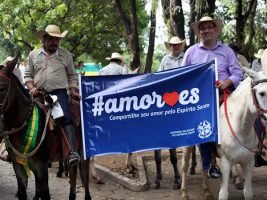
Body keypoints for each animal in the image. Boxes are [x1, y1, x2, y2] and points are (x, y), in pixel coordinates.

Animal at [0, 55, 91, 200]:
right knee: (73, 172)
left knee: (84, 175)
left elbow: (44, 192)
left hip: (83, 153)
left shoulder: (41, 166)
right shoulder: (18, 165)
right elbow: (23, 191)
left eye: (2, 88)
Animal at [219, 67, 267, 200]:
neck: (241, 129)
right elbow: (223, 194)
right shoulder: (225, 162)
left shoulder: (249, 162)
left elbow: (248, 193)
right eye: (262, 93)